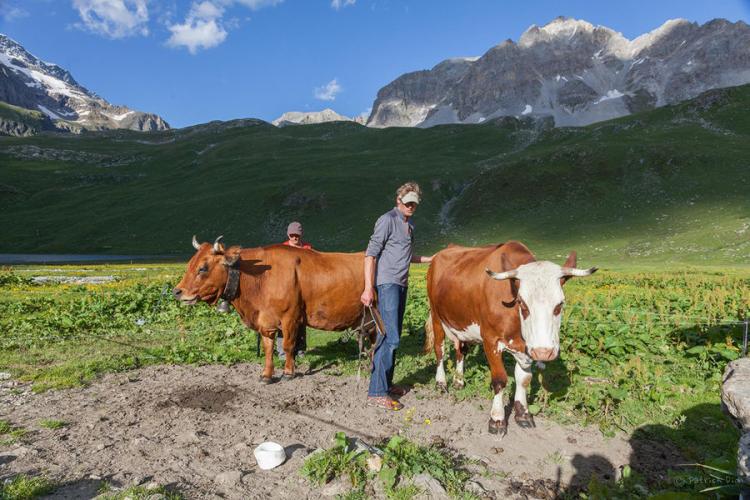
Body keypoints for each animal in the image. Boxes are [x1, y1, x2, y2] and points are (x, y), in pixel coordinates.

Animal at [173, 236, 368, 380]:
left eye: (203, 268)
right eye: (189, 264)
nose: (177, 292)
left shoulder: (290, 317)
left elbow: (288, 345)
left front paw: (289, 372)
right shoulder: (265, 320)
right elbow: (268, 347)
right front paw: (267, 374)